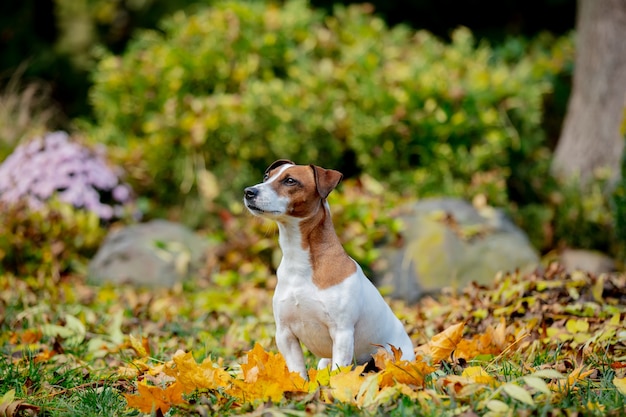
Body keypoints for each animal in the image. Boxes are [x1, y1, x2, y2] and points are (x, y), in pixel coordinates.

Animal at [244, 159, 414, 376]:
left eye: (290, 181)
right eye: (267, 177)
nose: (249, 191)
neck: (300, 262)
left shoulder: (342, 333)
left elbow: (337, 374)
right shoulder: (285, 334)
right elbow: (298, 372)